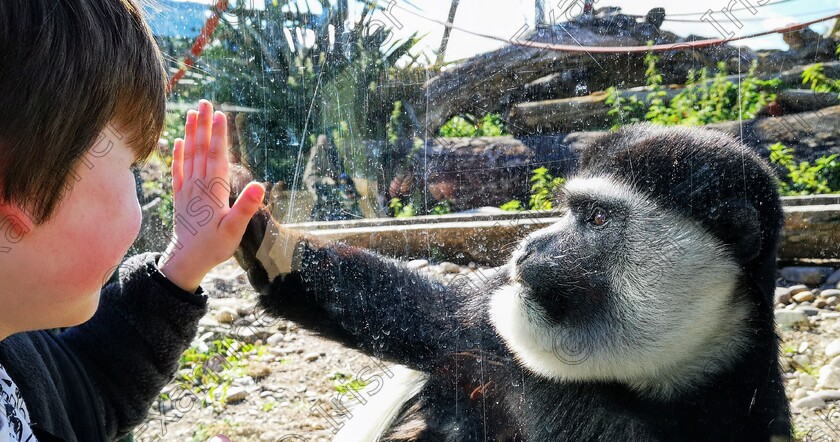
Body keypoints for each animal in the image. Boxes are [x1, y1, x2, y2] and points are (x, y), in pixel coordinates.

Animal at [235, 124, 796, 442]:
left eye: (595, 219)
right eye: (569, 210)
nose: (529, 247)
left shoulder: (748, 402)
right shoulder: (488, 330)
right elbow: (418, 313)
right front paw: (254, 231)